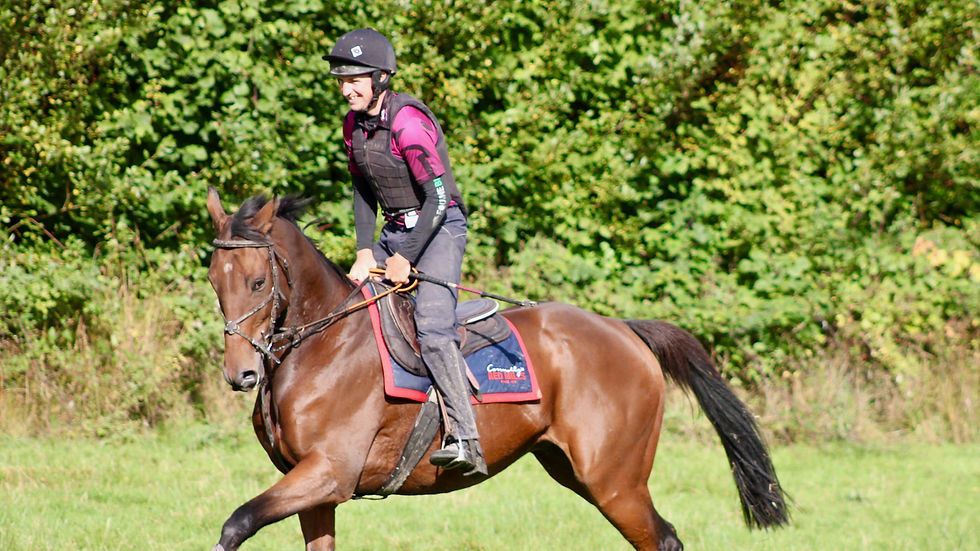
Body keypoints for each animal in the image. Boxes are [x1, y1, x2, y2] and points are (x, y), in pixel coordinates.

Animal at [204, 186, 789, 551]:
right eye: (214, 280)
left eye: (258, 282)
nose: (242, 375)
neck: (322, 344)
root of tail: (622, 329)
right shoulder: (313, 487)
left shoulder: (329, 472)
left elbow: (235, 524)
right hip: (574, 470)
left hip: (616, 483)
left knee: (663, 539)